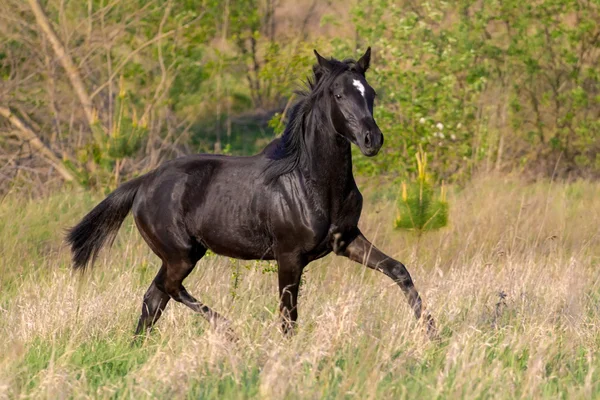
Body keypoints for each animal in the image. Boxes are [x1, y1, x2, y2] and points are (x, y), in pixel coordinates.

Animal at [67, 49, 436, 338]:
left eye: (370, 93)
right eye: (339, 95)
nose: (373, 140)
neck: (312, 184)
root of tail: (143, 182)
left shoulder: (346, 240)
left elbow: (398, 270)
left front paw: (432, 331)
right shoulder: (289, 256)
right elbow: (288, 317)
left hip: (180, 255)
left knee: (153, 299)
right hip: (181, 254)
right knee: (168, 290)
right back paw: (229, 329)